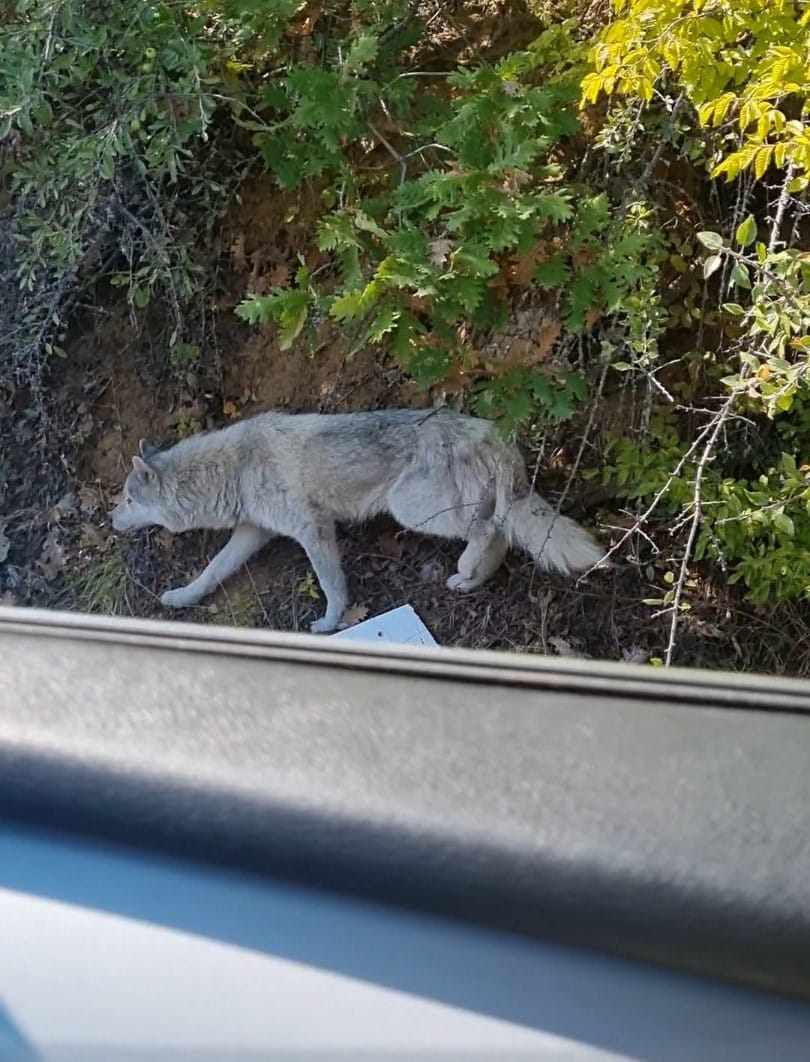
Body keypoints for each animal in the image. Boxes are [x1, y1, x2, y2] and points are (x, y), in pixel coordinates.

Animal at [110, 407, 607, 628]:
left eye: (129, 500)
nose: (112, 521)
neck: (233, 468)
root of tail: (492, 432)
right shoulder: (253, 533)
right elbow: (212, 570)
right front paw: (180, 598)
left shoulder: (313, 531)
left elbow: (332, 584)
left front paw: (330, 624)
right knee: (501, 535)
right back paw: (471, 582)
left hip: (410, 509)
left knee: (487, 532)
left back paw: (465, 572)